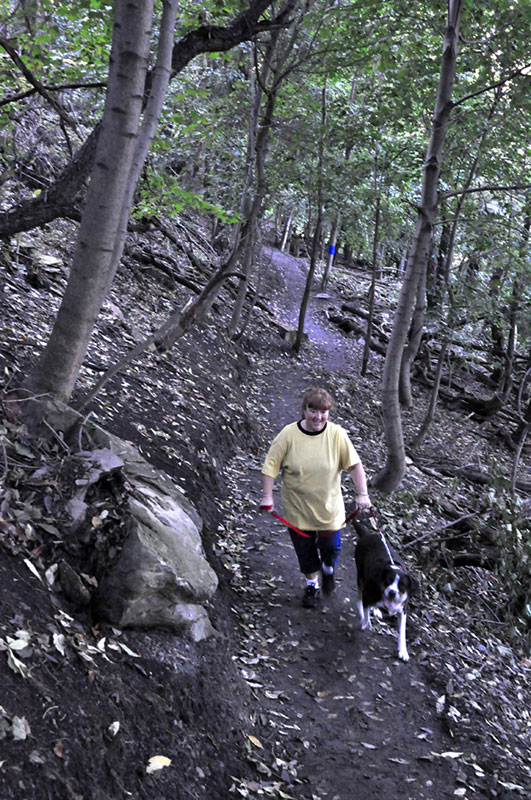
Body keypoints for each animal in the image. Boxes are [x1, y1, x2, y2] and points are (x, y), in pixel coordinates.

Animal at [354, 520, 420, 664]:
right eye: (387, 581)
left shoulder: (403, 609)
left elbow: (402, 632)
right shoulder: (368, 594)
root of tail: (367, 535)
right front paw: (365, 622)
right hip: (361, 576)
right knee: (359, 598)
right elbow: (365, 612)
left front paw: (403, 651)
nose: (392, 593)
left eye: (402, 586)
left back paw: (376, 610)